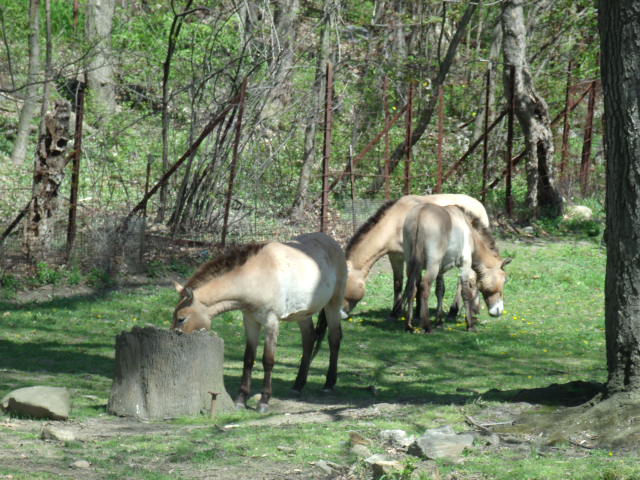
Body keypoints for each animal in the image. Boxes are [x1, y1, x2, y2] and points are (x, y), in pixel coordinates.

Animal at [172, 232, 347, 414]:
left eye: (181, 319)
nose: (175, 336)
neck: (257, 277)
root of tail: (332, 242)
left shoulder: (271, 323)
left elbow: (268, 360)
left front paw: (264, 401)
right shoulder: (250, 321)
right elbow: (248, 359)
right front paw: (241, 399)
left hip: (333, 305)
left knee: (334, 339)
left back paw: (329, 384)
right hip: (302, 314)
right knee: (309, 340)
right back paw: (298, 385)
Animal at [344, 193, 490, 319]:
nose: (341, 314)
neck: (395, 221)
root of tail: (480, 206)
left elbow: (416, 283)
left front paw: (416, 312)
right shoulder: (395, 256)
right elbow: (398, 283)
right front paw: (396, 311)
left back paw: (455, 310)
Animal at [401, 204, 511, 332]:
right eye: (505, 280)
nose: (499, 311)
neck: (469, 230)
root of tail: (421, 212)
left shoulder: (441, 271)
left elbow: (440, 291)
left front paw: (439, 321)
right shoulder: (465, 265)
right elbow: (465, 293)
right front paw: (470, 325)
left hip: (411, 264)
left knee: (411, 288)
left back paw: (409, 326)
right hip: (432, 265)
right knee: (424, 286)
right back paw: (427, 326)